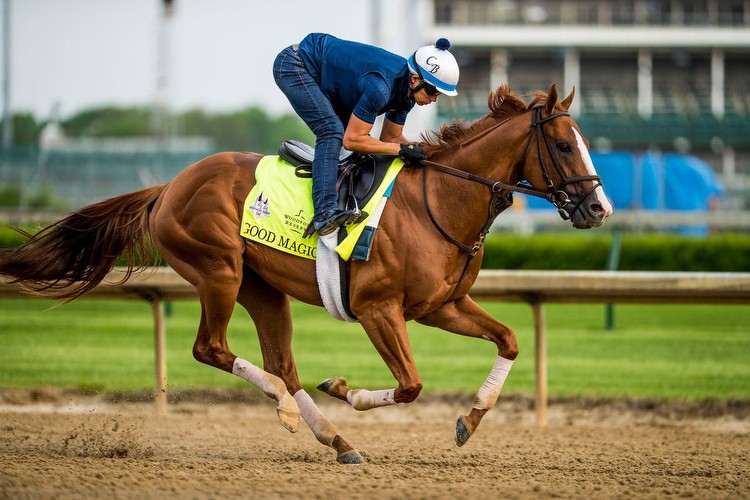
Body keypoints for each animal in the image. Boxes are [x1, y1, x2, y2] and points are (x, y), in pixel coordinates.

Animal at [0, 84, 612, 462]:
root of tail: (169, 185)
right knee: (214, 350)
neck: (439, 199)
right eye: (564, 145)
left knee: (283, 364)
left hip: (264, 290)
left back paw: (334, 439)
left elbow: (508, 339)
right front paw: (346, 388)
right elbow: (410, 385)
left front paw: (472, 417)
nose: (599, 208)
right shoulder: (378, 308)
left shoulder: (442, 305)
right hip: (219, 271)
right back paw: (288, 409)